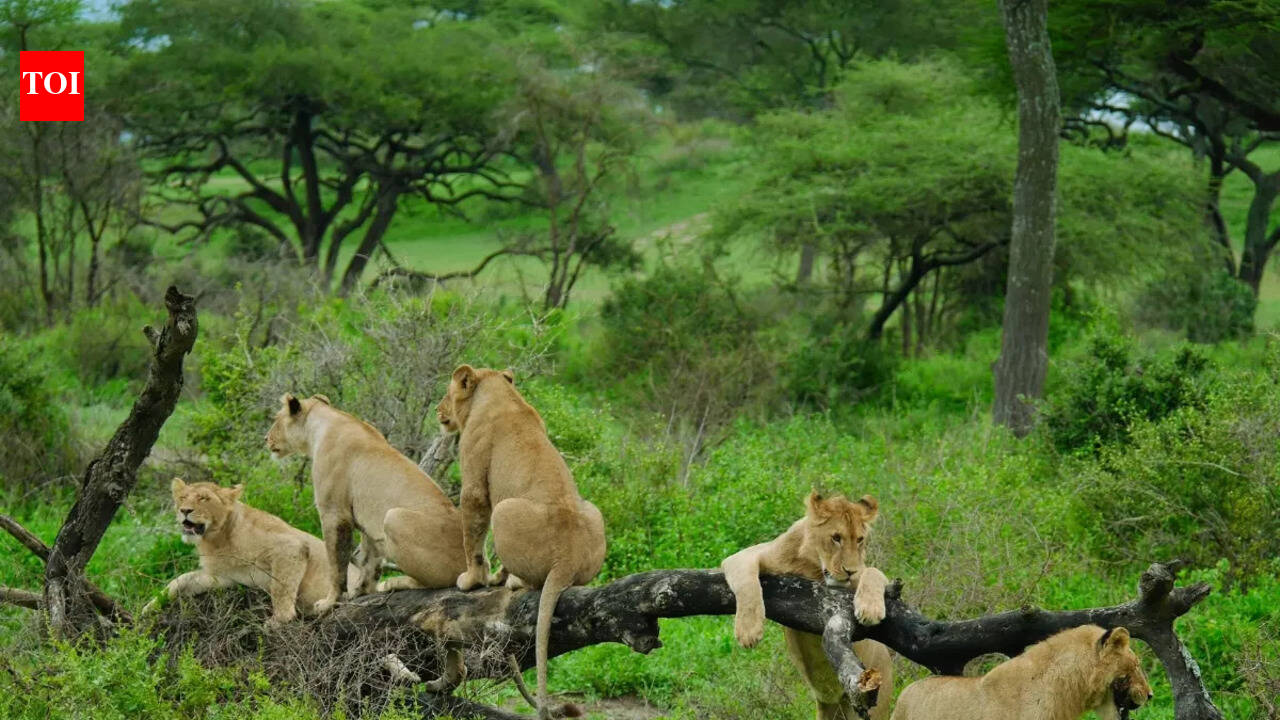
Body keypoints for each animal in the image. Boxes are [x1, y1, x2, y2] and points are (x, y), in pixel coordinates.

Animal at [142, 478, 331, 628]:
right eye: (182, 498)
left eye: (203, 498)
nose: (184, 510)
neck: (216, 541)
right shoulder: (223, 577)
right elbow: (181, 579)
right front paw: (150, 606)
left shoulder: (291, 546)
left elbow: (281, 587)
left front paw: (280, 619)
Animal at [265, 394, 466, 614]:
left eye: (276, 419)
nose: (265, 438)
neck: (320, 425)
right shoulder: (365, 520)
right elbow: (370, 558)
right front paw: (362, 591)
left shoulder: (334, 512)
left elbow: (336, 563)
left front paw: (329, 602)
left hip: (394, 517)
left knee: (434, 582)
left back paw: (394, 582)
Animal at [439, 365, 606, 720]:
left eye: (448, 393)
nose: (438, 411)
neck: (497, 393)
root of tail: (567, 558)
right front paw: (490, 576)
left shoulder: (473, 482)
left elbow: (472, 537)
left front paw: (471, 580)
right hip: (593, 511)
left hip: (504, 509)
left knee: (531, 581)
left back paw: (512, 581)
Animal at [722, 491, 894, 720]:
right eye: (836, 538)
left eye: (860, 540)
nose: (850, 571)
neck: (813, 568)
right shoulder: (746, 555)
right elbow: (746, 582)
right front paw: (748, 631)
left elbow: (873, 571)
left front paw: (870, 609)